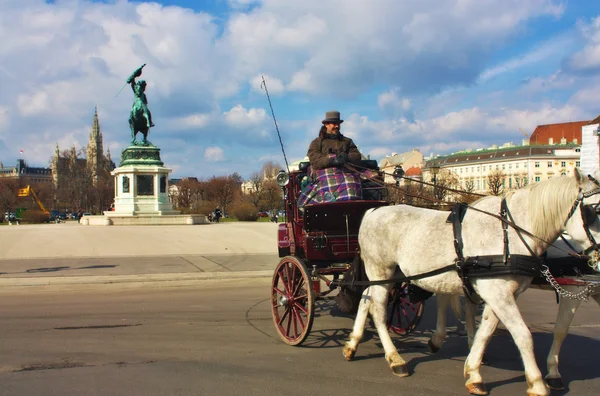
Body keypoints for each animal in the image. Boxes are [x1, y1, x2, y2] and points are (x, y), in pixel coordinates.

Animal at [344, 169, 600, 394]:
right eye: (592, 211)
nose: (597, 259)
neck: (510, 232)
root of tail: (373, 211)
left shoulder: (501, 294)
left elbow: (485, 331)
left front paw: (474, 372)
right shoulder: (499, 294)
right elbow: (523, 335)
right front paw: (537, 383)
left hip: (392, 274)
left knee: (366, 300)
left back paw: (352, 344)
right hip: (381, 270)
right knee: (378, 310)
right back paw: (395, 359)